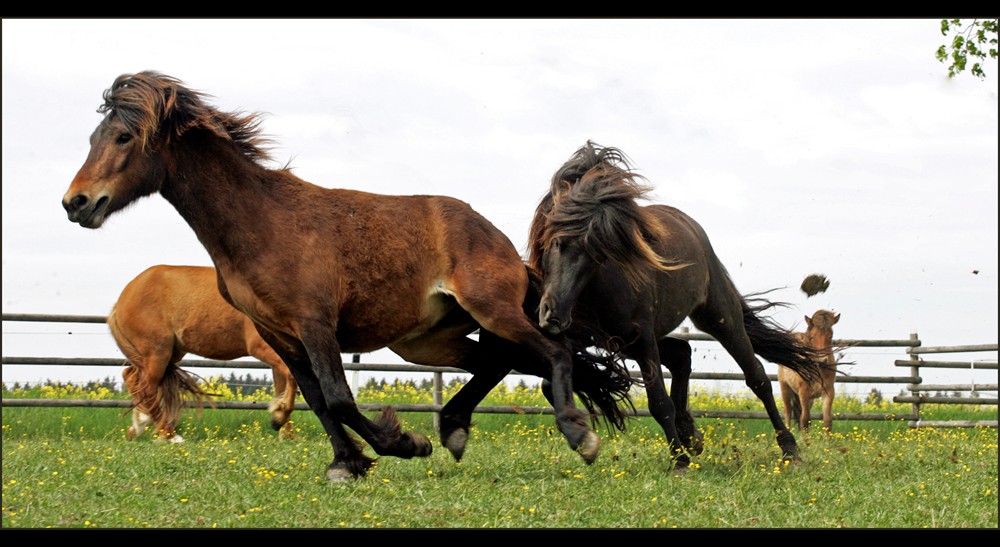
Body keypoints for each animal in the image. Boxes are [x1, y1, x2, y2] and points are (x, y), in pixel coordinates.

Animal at [110, 264, 298, 444]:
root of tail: (124, 297)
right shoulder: (260, 346)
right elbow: (291, 378)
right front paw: (279, 419)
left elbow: (282, 387)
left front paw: (286, 434)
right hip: (157, 353)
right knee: (146, 387)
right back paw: (169, 435)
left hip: (165, 354)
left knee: (131, 377)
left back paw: (139, 426)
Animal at [528, 142, 824, 470]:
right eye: (555, 241)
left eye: (597, 252)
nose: (553, 315)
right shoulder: (591, 337)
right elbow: (551, 383)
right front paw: (584, 437)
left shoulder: (642, 339)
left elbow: (658, 401)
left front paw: (679, 460)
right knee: (683, 354)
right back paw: (691, 435)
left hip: (720, 318)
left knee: (757, 378)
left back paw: (789, 450)